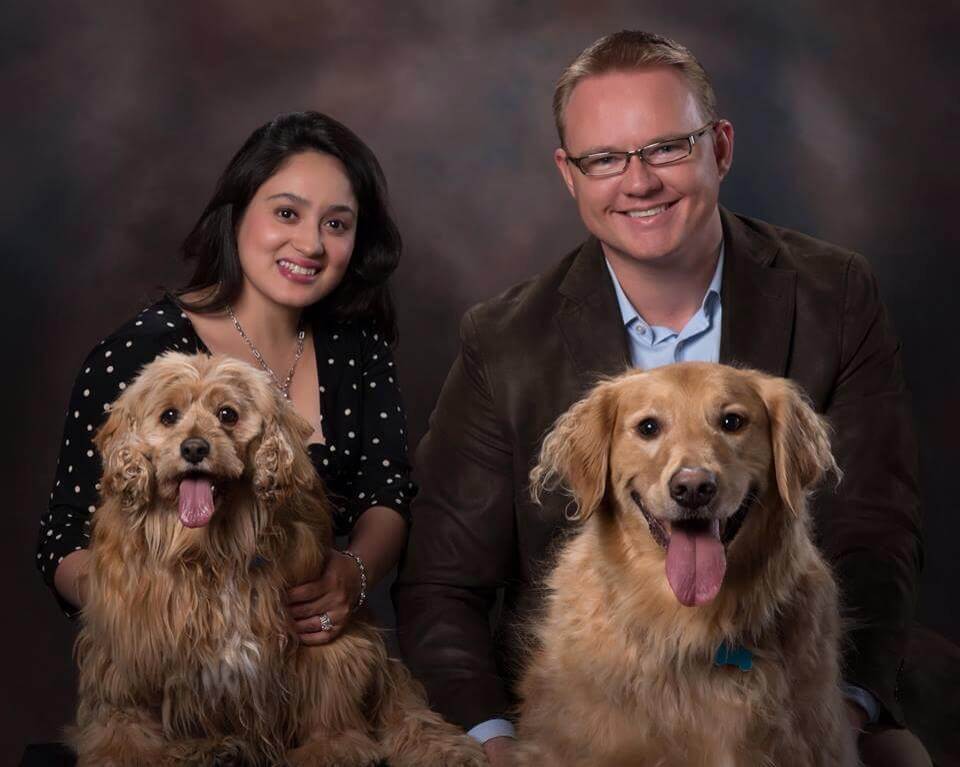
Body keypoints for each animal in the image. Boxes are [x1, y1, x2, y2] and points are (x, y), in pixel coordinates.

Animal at [70, 354, 484, 767]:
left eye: (227, 414)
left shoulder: (323, 633)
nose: (194, 448)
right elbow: (126, 716)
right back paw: (206, 748)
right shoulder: (128, 645)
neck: (211, 550)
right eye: (169, 415)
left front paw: (330, 748)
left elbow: (327, 699)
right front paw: (126, 753)